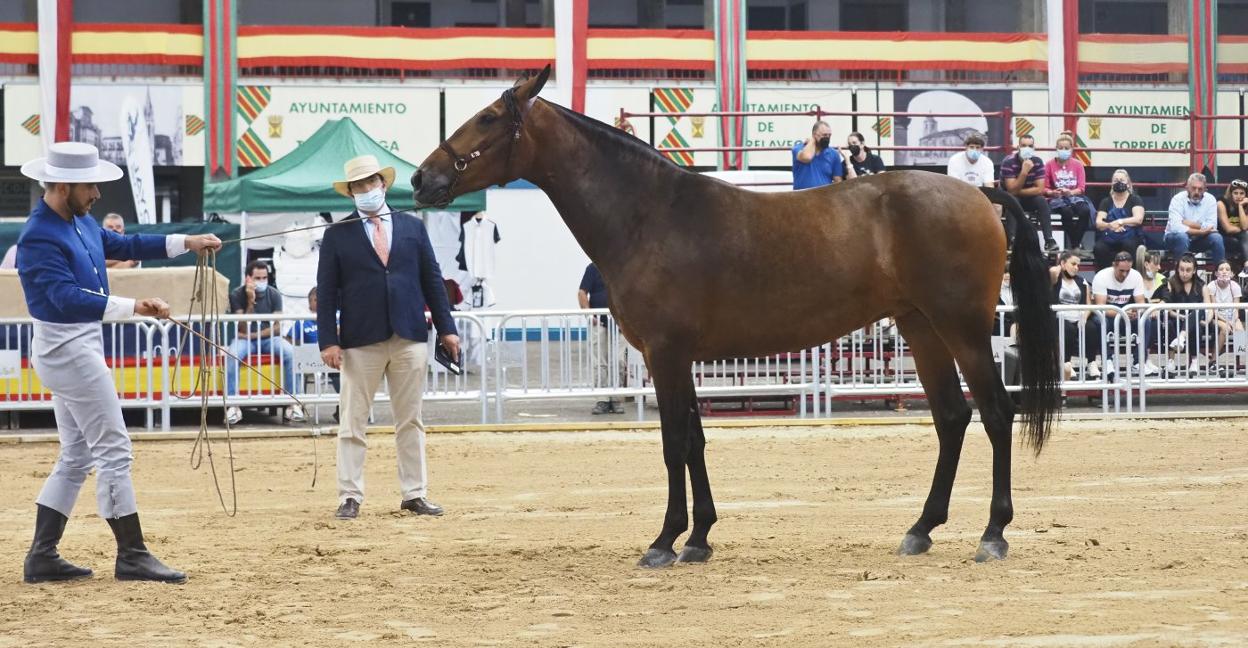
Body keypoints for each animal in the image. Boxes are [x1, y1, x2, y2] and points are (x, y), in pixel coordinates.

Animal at [414, 65, 1058, 569]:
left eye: (488, 119)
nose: (423, 178)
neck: (649, 214)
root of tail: (980, 194)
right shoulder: (675, 358)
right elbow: (695, 439)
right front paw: (699, 537)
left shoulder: (666, 354)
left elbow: (675, 442)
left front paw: (666, 539)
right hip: (921, 327)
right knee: (952, 417)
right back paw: (921, 529)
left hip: (963, 328)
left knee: (996, 413)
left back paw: (993, 533)